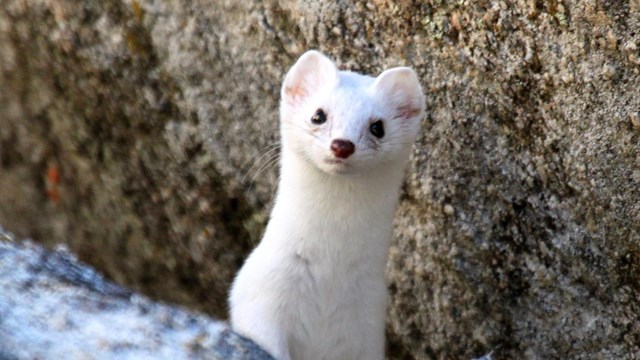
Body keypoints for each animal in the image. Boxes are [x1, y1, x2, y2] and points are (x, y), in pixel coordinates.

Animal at [230, 50, 424, 360]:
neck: (329, 274)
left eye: (378, 127)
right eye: (318, 115)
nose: (342, 144)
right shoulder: (261, 300)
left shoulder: (367, 327)